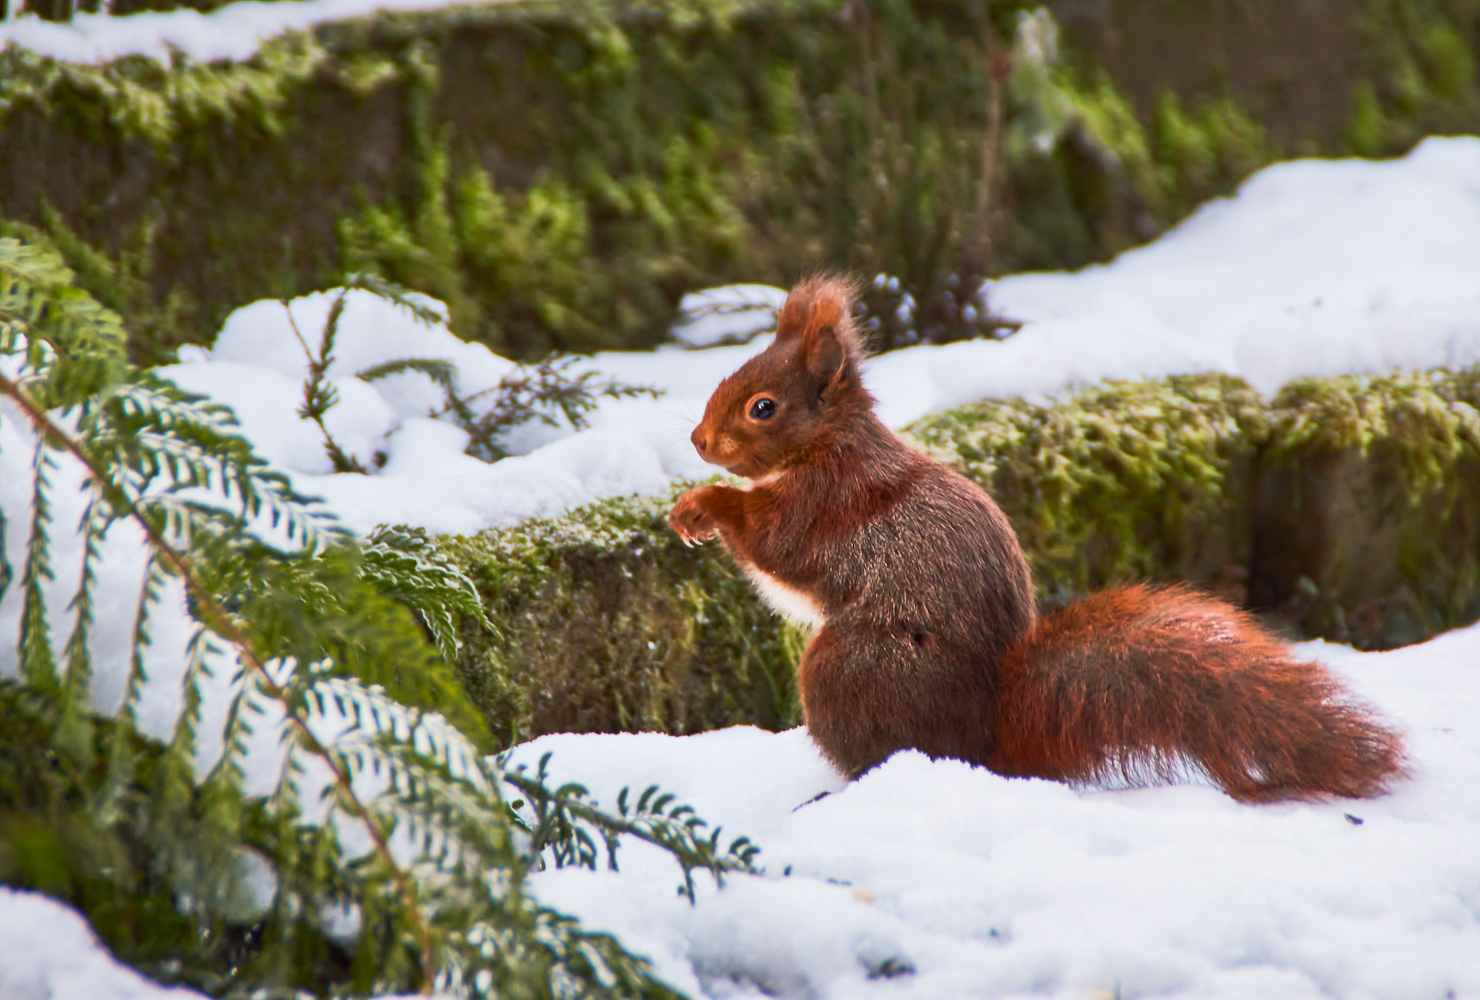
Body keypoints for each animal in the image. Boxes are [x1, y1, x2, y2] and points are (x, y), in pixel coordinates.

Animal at [671, 275, 1408, 804]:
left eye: (762, 407)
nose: (698, 441)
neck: (828, 444)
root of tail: (986, 746)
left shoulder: (824, 506)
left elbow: (773, 542)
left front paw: (702, 506)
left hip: (848, 670)